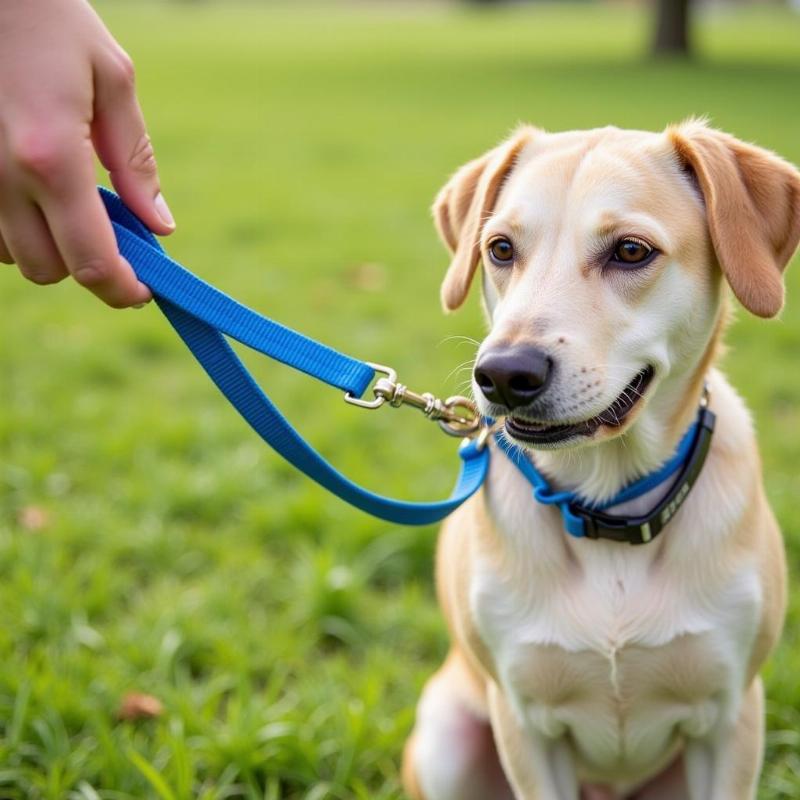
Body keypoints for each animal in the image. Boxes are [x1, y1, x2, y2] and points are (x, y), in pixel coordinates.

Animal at [404, 119, 796, 800]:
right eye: (500, 249)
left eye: (631, 251)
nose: (503, 374)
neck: (607, 507)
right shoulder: (524, 723)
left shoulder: (732, 717)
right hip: (445, 740)